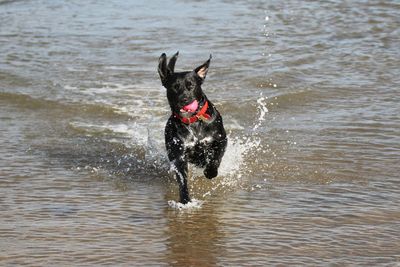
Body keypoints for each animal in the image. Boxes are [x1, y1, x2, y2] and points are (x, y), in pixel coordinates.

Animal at [159, 51, 228, 204]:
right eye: (174, 87)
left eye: (191, 85)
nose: (184, 99)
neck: (193, 121)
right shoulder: (179, 154)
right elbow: (182, 179)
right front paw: (185, 199)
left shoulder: (220, 140)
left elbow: (215, 158)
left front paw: (210, 172)